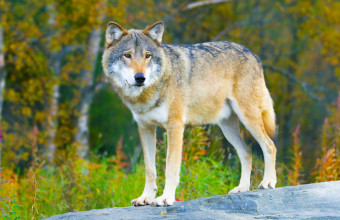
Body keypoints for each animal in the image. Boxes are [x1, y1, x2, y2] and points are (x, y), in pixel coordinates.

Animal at [101, 20, 276, 206]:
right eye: (127, 55)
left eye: (147, 55)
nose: (140, 77)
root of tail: (253, 54)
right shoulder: (145, 127)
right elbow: (150, 169)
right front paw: (146, 198)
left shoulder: (175, 126)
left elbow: (171, 167)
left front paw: (166, 198)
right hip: (228, 128)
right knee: (247, 152)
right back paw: (242, 188)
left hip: (248, 118)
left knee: (269, 145)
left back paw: (268, 182)